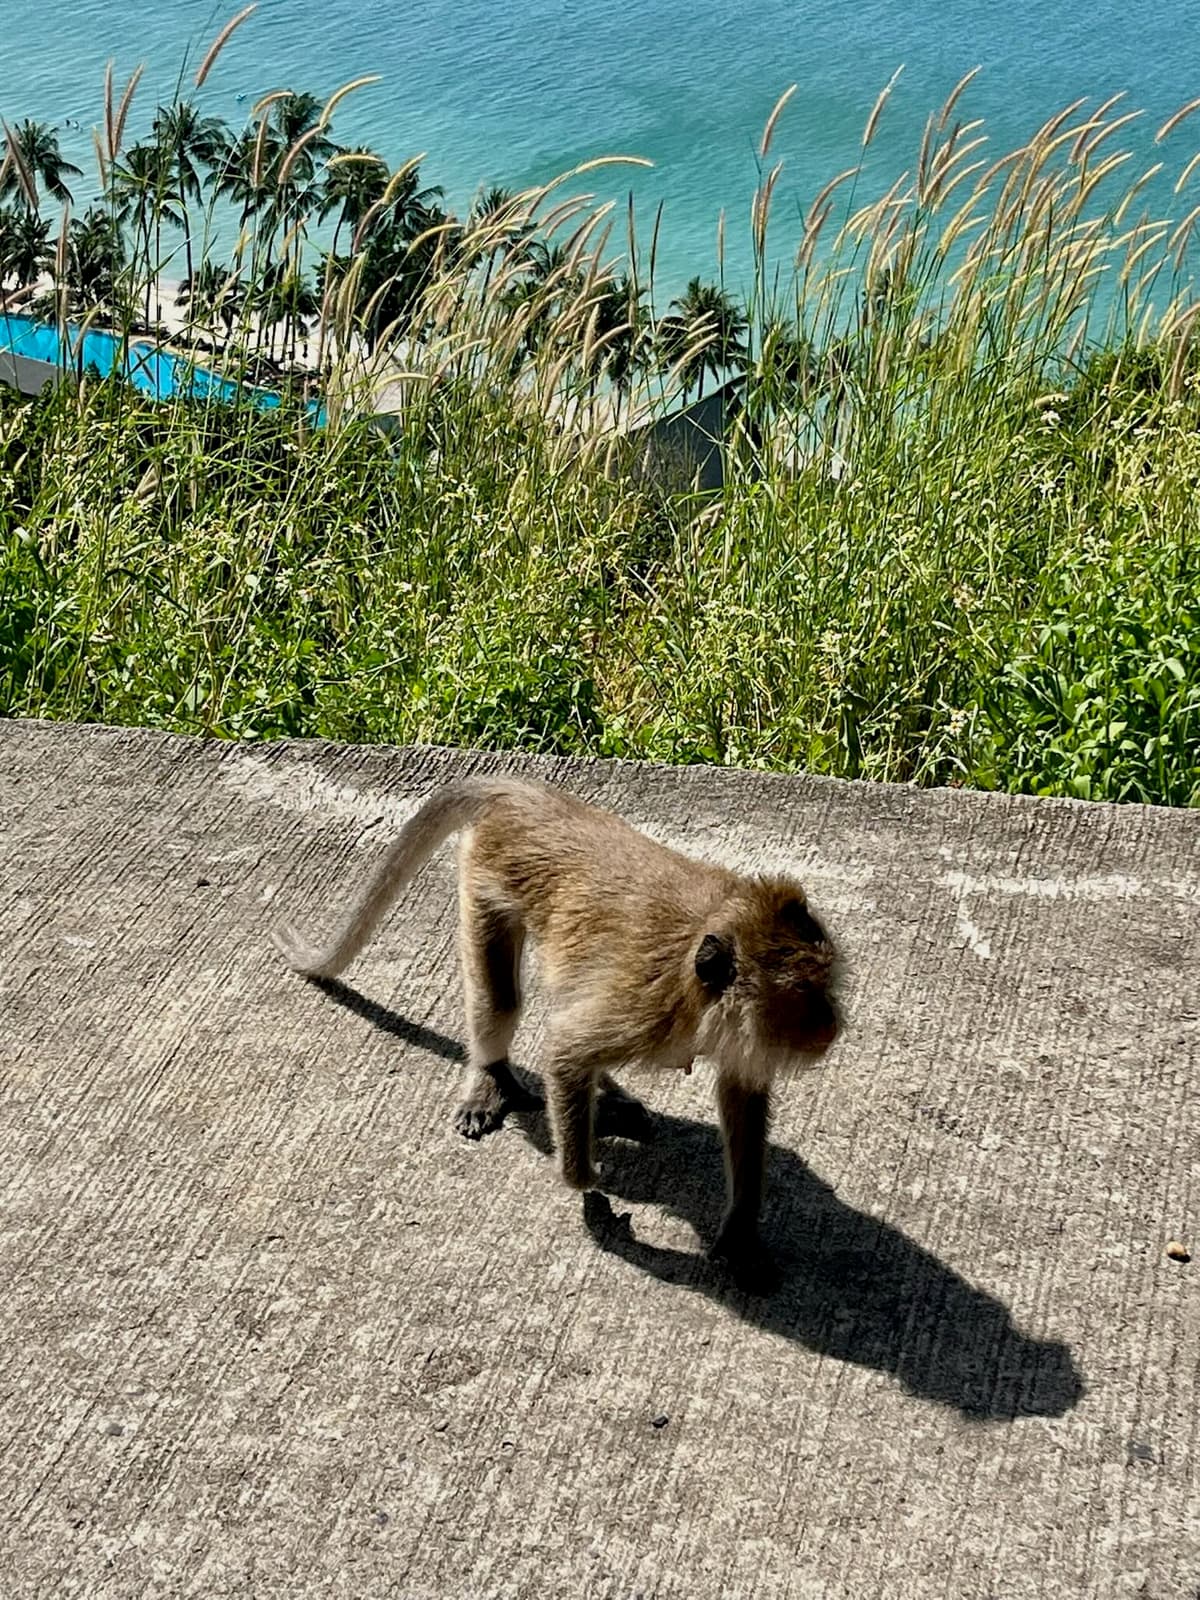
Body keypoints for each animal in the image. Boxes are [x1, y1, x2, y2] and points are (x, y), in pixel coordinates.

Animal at [272, 774, 838, 1286]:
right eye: (804, 997)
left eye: (827, 984)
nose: (831, 1026)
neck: (697, 988)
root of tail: (527, 796)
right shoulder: (645, 1008)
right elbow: (567, 1050)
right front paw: (583, 1179)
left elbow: (741, 1099)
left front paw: (740, 1234)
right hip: (485, 875)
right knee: (502, 1002)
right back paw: (497, 1078)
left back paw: (610, 1102)